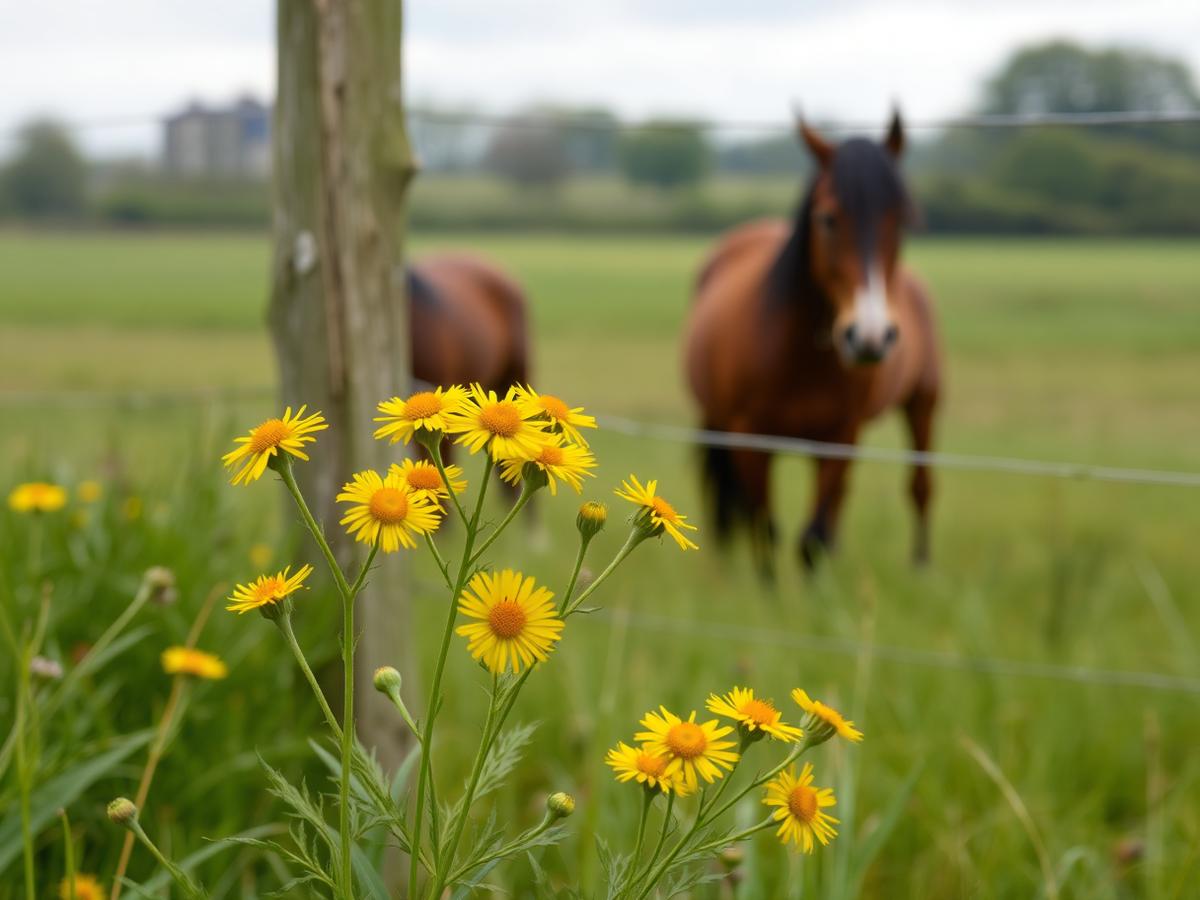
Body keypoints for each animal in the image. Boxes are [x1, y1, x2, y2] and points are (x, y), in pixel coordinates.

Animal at [684, 111, 941, 577]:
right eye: (828, 218)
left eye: (900, 220)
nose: (870, 335)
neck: (800, 356)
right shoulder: (751, 438)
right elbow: (765, 530)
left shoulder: (839, 437)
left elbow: (813, 538)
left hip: (923, 402)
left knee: (920, 485)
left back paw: (922, 570)